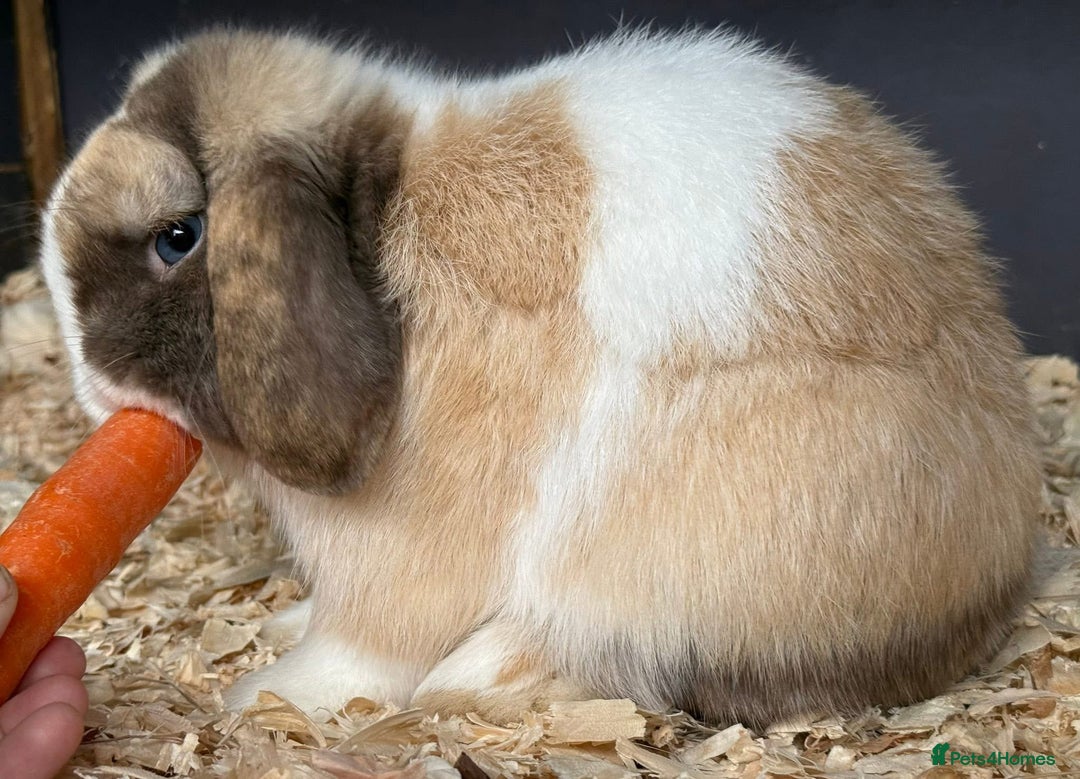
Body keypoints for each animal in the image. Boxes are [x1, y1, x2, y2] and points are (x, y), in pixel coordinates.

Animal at [39, 27, 1040, 730]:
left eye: (179, 237)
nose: (85, 373)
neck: (388, 229)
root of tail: (999, 568)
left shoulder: (404, 551)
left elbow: (364, 642)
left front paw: (266, 695)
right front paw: (285, 631)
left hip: (682, 558)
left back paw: (471, 676)